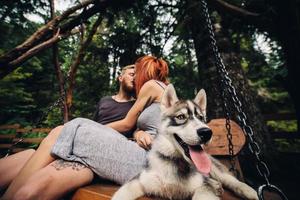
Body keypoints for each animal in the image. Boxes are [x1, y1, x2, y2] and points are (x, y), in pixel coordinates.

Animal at [112, 84, 258, 200]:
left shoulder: (202, 187)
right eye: (181, 117)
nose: (206, 132)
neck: (176, 162)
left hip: (214, 168)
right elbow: (121, 194)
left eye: (201, 118)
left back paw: (248, 190)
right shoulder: (140, 180)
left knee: (228, 178)